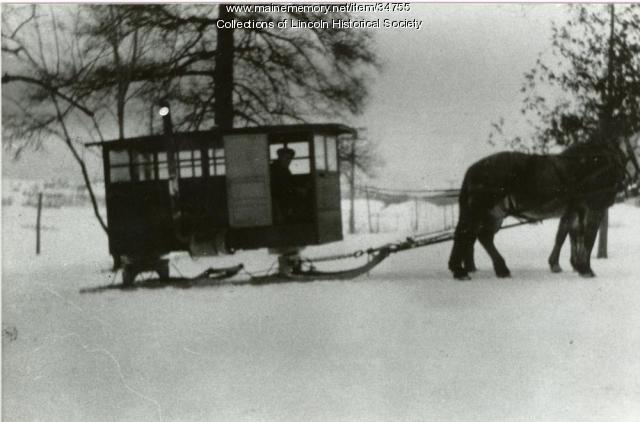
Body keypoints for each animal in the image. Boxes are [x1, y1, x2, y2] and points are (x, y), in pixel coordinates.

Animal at [448, 136, 636, 280]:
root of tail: (472, 170)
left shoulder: (575, 211)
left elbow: (571, 235)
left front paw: (575, 265)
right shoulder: (594, 209)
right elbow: (587, 238)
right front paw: (586, 269)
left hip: (494, 214)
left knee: (481, 237)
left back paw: (497, 269)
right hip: (481, 210)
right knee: (467, 235)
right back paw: (462, 270)